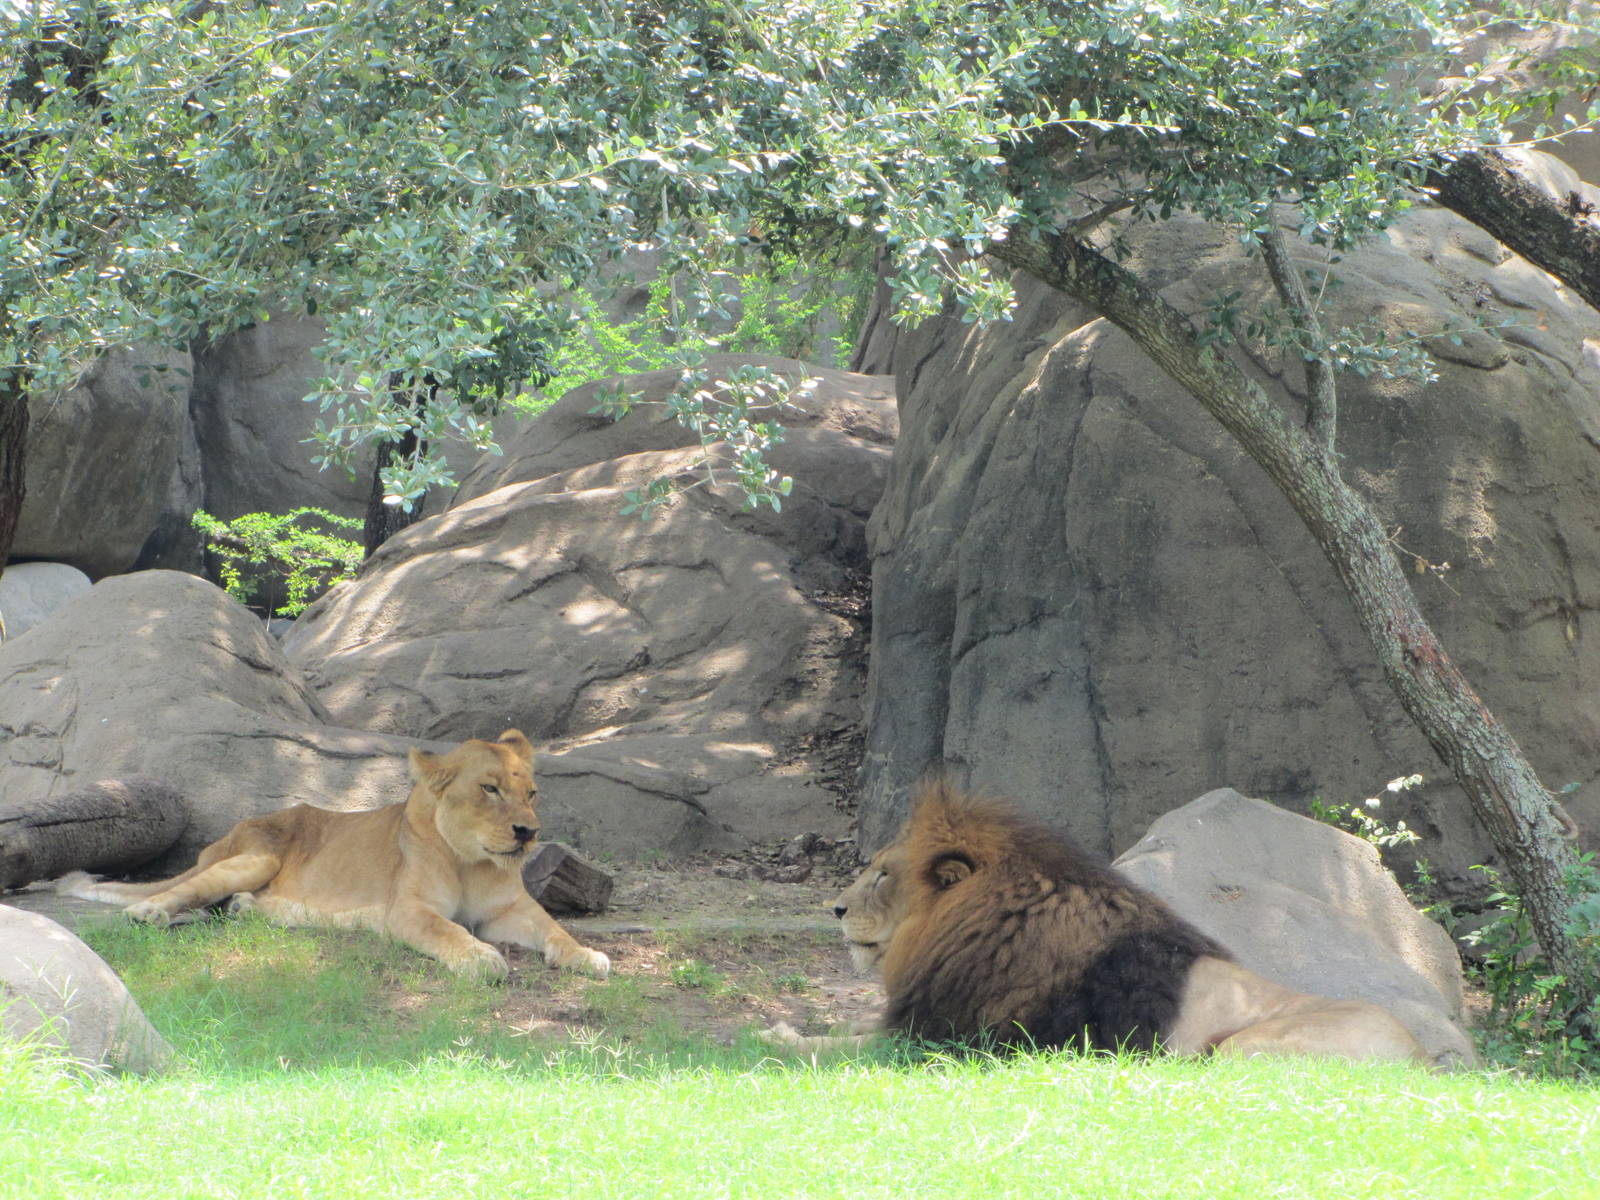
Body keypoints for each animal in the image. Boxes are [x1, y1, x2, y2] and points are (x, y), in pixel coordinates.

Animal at [54, 730, 609, 981]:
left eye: (531, 793)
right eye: (489, 789)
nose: (528, 833)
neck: (472, 862)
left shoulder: (511, 910)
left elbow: (555, 930)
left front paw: (586, 956)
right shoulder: (409, 911)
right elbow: (447, 930)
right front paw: (479, 957)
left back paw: (247, 908)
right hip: (254, 857)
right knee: (179, 891)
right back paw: (148, 913)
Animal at [765, 780, 1425, 1062]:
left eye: (882, 875)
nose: (836, 908)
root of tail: (1425, 1060)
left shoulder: (953, 1039)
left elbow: (838, 1045)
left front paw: (776, 1037)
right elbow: (849, 1028)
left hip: (1245, 1048)